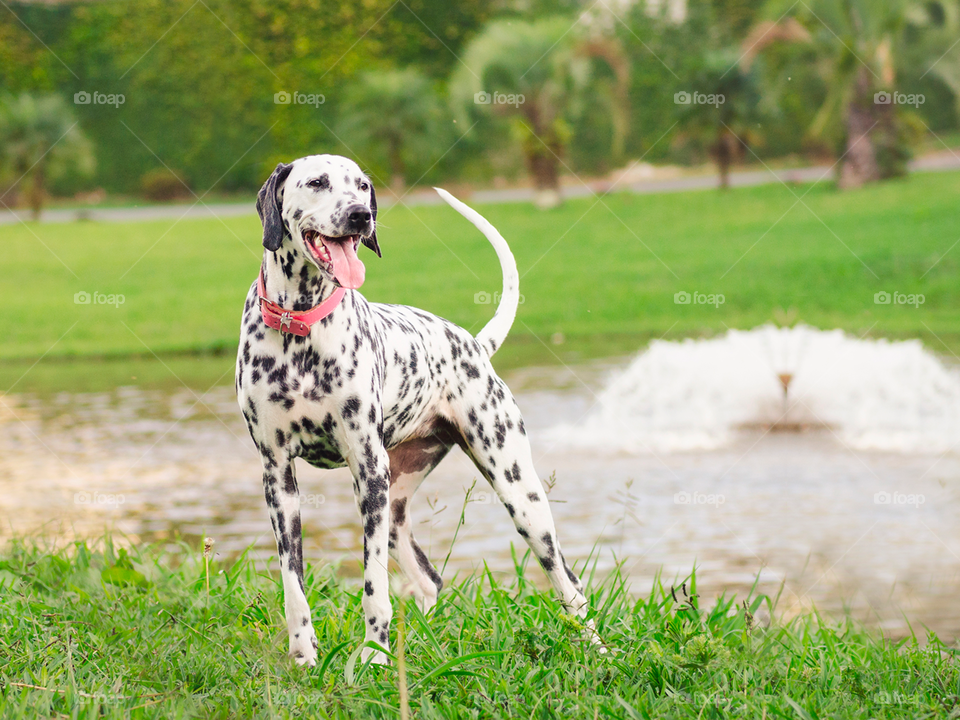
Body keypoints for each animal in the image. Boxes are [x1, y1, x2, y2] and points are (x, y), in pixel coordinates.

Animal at [234, 155, 592, 668]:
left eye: (363, 186)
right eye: (317, 182)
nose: (361, 215)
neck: (299, 329)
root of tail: (473, 344)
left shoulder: (368, 470)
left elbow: (374, 586)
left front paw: (373, 657)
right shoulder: (278, 478)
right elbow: (293, 586)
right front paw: (304, 656)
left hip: (516, 496)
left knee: (571, 585)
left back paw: (598, 650)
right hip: (395, 509)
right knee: (428, 580)